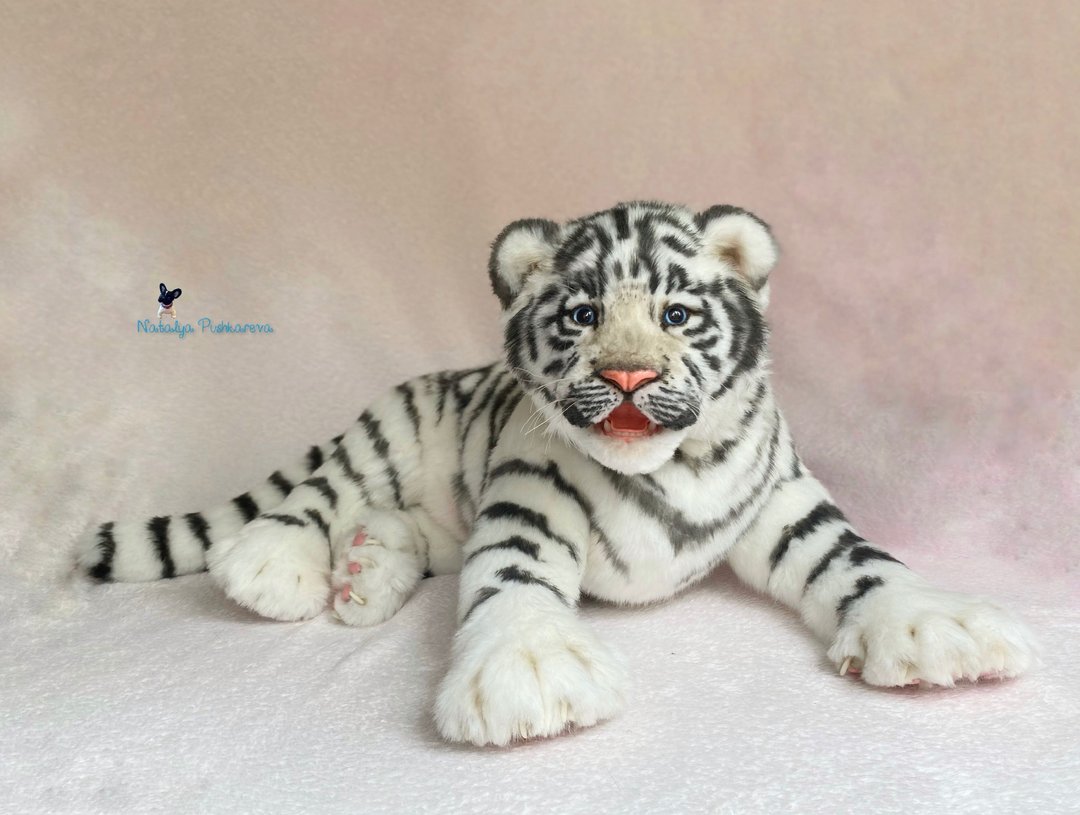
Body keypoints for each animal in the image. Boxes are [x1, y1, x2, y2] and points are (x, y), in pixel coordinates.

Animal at [77, 200, 1039, 747]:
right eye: (582, 316)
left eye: (676, 313)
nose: (629, 376)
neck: (675, 465)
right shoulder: (527, 499)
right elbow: (512, 579)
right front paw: (529, 670)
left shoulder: (781, 498)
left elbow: (856, 556)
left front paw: (932, 626)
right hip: (385, 432)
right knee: (319, 492)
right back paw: (276, 566)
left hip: (436, 513)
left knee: (400, 523)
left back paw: (363, 574)